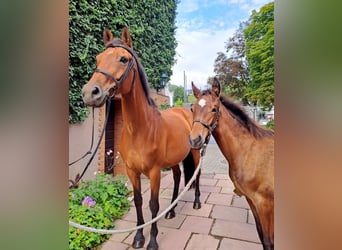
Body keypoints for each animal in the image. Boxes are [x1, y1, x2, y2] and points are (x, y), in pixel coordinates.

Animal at [81, 27, 202, 250]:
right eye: (98, 58)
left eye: (123, 58)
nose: (90, 93)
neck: (140, 130)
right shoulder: (132, 171)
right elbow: (138, 200)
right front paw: (138, 237)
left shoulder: (154, 172)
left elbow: (153, 204)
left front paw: (152, 241)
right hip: (174, 160)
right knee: (177, 177)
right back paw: (172, 210)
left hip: (196, 152)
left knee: (196, 175)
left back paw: (197, 202)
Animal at [188, 77, 274, 249]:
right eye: (192, 109)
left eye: (214, 109)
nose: (195, 140)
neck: (249, 151)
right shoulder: (252, 201)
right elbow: (261, 236)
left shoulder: (266, 204)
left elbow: (269, 242)